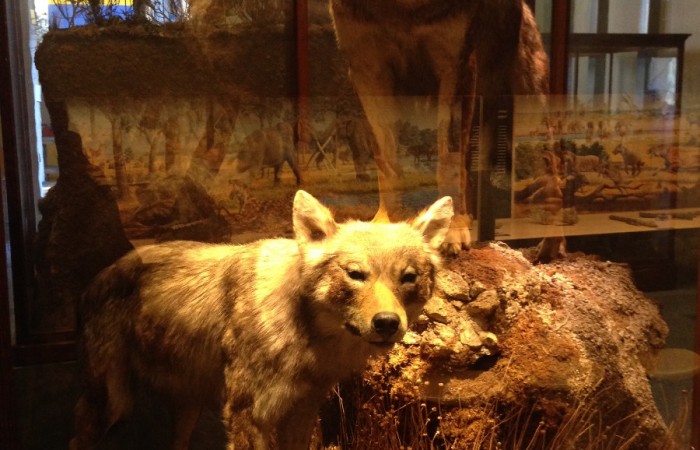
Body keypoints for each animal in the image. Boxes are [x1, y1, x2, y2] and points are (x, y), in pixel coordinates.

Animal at [69, 190, 454, 450]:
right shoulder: (248, 414)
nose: (387, 322)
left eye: (408, 277)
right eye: (355, 274)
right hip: (115, 404)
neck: (305, 336)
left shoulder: (301, 412)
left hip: (186, 405)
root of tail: (95, 279)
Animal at [330, 0, 548, 251]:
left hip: (526, 115)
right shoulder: (368, 70)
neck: (401, 8)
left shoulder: (456, 66)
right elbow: (386, 163)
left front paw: (452, 227)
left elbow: (448, 164)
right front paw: (386, 223)